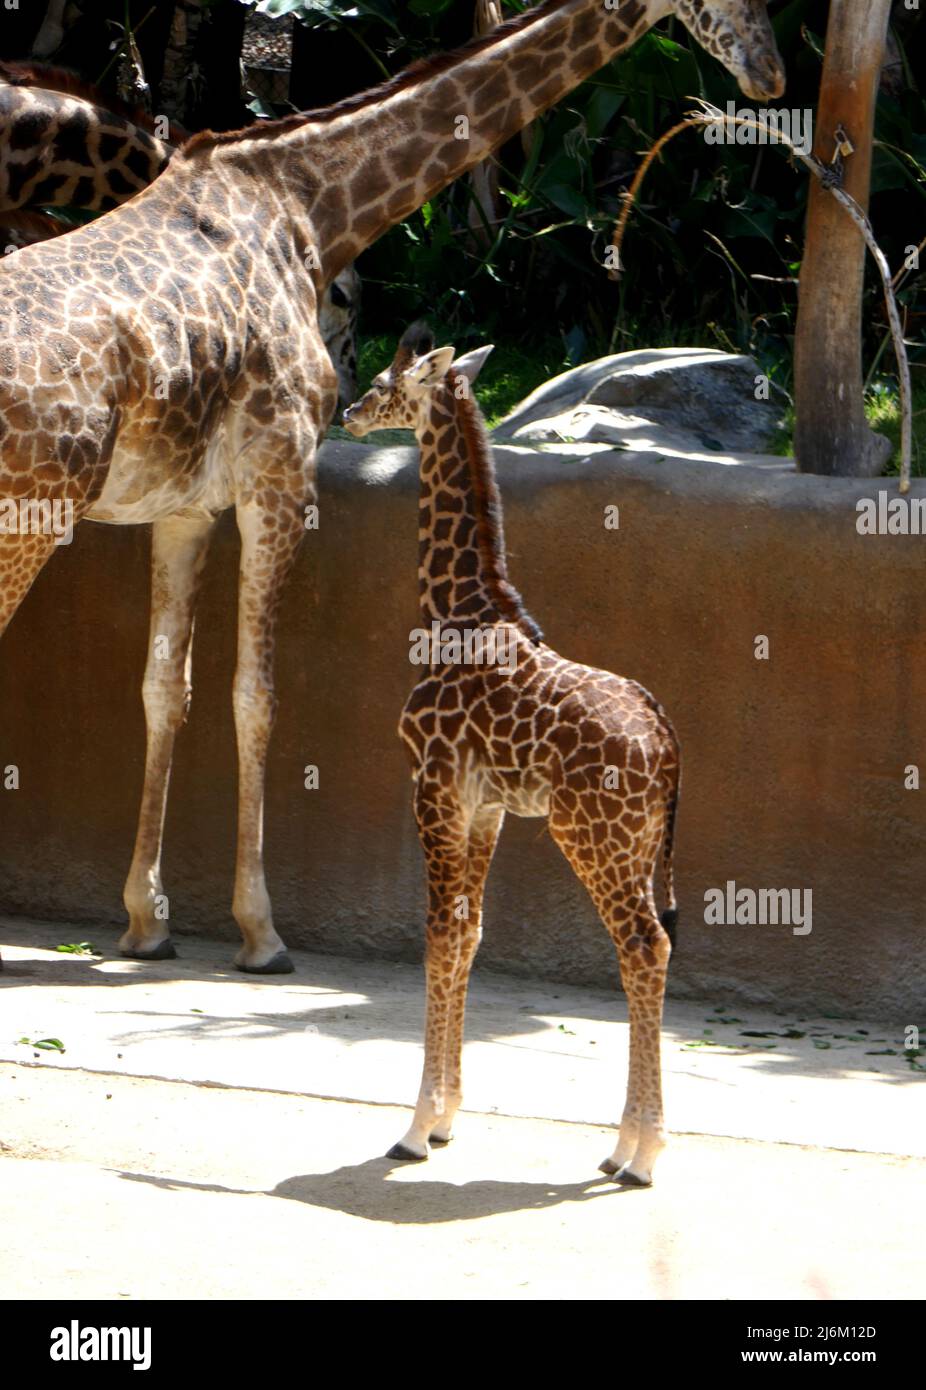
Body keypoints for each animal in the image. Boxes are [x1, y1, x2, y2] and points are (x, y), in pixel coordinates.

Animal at [0, 0, 778, 973]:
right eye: (733, 3)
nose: (771, 76)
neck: (309, 207)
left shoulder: (185, 508)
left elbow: (163, 690)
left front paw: (147, 920)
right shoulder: (281, 477)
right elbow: (256, 697)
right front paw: (262, 932)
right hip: (32, 513)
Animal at [344, 328, 678, 1184]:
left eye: (385, 380)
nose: (349, 412)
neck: (453, 612)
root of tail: (667, 743)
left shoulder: (431, 782)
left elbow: (437, 933)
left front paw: (413, 1127)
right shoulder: (484, 803)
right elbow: (470, 933)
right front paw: (447, 1118)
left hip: (591, 834)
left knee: (643, 945)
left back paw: (639, 1153)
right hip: (637, 843)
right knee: (650, 946)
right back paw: (623, 1145)